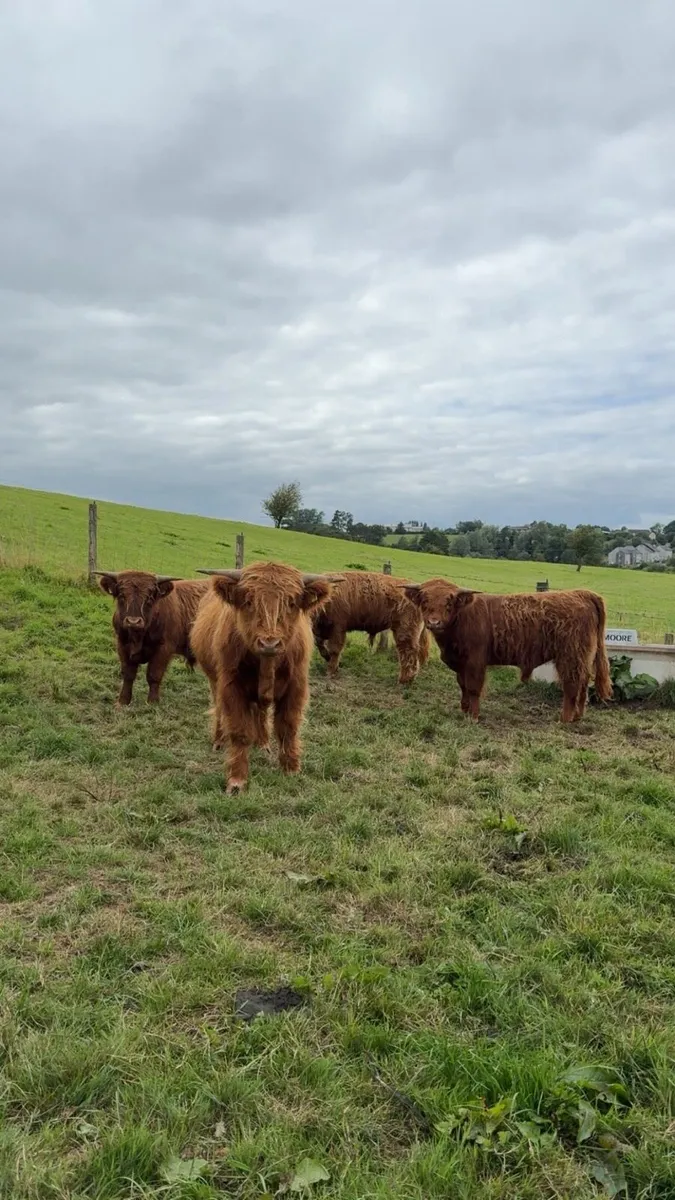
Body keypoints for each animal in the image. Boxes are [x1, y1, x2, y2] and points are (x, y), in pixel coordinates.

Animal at [97, 570, 210, 706]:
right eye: (122, 596)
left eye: (149, 599)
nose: (133, 621)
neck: (138, 637)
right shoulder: (122, 645)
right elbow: (128, 674)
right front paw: (123, 701)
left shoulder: (164, 648)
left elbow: (154, 675)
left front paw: (152, 702)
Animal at [190, 562, 343, 793]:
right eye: (249, 601)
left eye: (291, 603)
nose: (269, 643)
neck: (267, 664)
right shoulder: (231, 687)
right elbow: (239, 731)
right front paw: (236, 780)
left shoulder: (296, 687)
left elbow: (288, 727)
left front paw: (291, 769)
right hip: (215, 681)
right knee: (219, 708)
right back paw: (218, 740)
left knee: (260, 712)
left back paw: (263, 744)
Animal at [402, 579, 612, 722]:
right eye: (424, 600)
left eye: (449, 602)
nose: (434, 622)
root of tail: (581, 593)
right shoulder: (461, 663)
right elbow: (463, 685)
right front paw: (464, 709)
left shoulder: (475, 662)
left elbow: (473, 688)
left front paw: (474, 716)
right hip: (583, 658)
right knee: (584, 683)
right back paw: (578, 716)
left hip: (570, 657)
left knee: (572, 686)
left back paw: (565, 719)